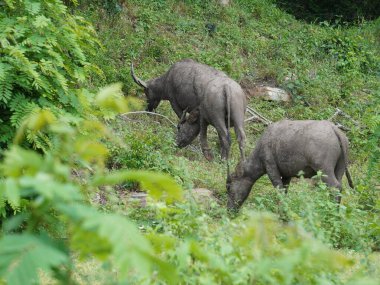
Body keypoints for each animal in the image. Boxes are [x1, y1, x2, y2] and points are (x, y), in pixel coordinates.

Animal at [226, 118, 354, 210]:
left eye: (229, 188)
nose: (229, 210)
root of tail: (334, 129)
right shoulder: (286, 175)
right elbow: (285, 191)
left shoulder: (271, 169)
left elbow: (280, 191)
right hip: (339, 169)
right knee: (339, 187)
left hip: (324, 170)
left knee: (335, 187)